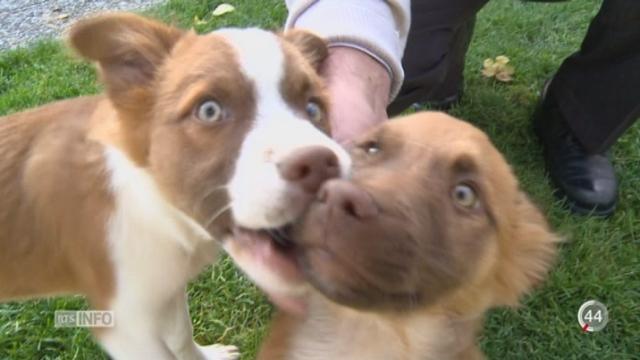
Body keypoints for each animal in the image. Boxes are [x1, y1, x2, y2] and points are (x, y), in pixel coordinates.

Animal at [0, 12, 350, 358]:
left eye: (314, 108)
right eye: (209, 110)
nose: (321, 165)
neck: (153, 209)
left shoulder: (166, 287)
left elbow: (181, 333)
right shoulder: (124, 326)